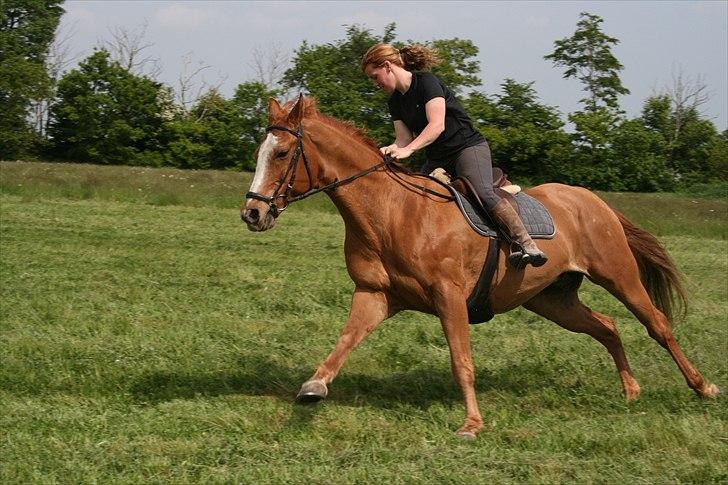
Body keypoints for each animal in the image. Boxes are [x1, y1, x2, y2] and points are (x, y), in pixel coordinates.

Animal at [240, 94, 716, 438]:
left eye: (282, 153)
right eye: (261, 151)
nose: (252, 213)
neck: (390, 211)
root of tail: (592, 199)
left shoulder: (449, 296)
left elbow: (461, 361)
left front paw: (471, 423)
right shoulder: (375, 294)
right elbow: (345, 341)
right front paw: (314, 387)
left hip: (618, 275)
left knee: (657, 325)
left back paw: (702, 387)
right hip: (552, 300)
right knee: (607, 327)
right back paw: (631, 391)